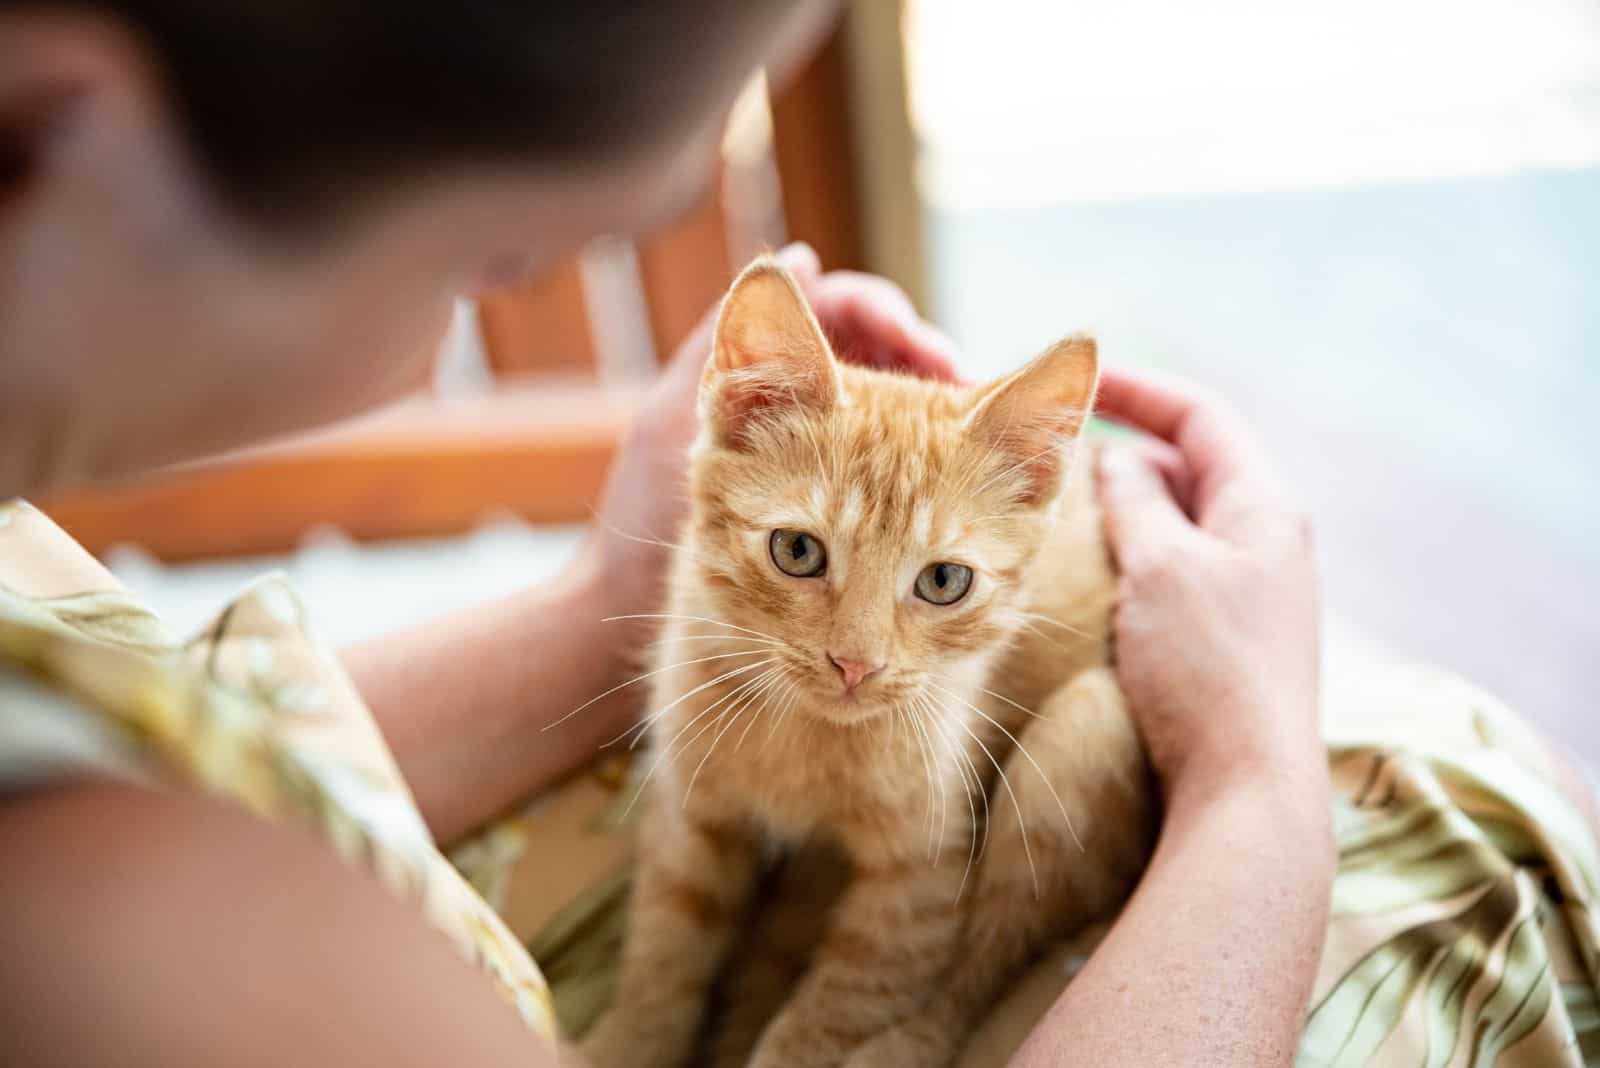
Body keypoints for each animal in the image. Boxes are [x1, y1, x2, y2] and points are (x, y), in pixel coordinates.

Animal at [582, 259, 1158, 1068]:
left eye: (944, 581)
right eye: (797, 550)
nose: (855, 664)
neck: (806, 738)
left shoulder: (921, 875)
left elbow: (843, 1001)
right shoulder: (688, 812)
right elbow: (664, 947)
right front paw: (624, 1039)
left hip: (1084, 732)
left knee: (980, 961)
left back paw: (903, 1044)